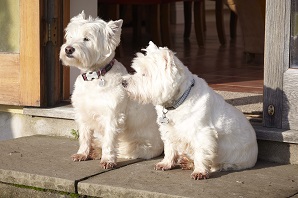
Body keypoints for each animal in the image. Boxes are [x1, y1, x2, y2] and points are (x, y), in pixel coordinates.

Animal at [59, 12, 163, 169]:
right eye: (70, 37)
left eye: (86, 38)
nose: (68, 49)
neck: (94, 78)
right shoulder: (83, 113)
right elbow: (84, 136)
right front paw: (82, 154)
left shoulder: (112, 116)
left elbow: (109, 140)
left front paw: (107, 160)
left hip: (139, 147)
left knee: (122, 150)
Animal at [122, 41, 260, 179]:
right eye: (136, 71)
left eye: (145, 73)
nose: (123, 82)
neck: (178, 101)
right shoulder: (168, 130)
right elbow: (169, 148)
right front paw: (165, 163)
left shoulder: (202, 133)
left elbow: (201, 153)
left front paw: (199, 172)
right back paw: (186, 162)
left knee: (220, 164)